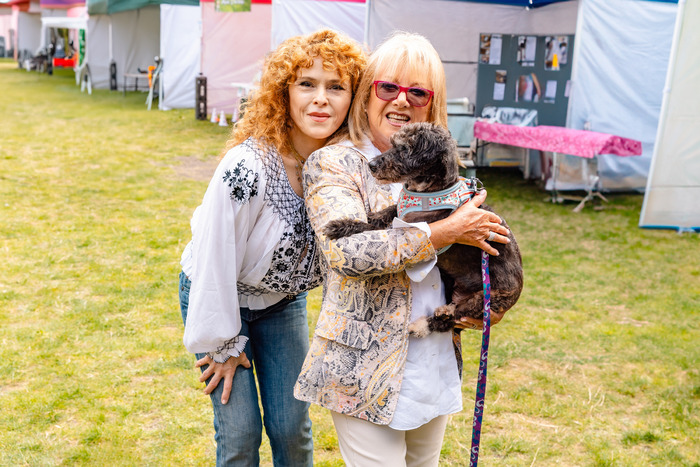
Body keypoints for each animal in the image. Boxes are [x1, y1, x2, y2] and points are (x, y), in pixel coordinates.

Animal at [322, 122, 520, 338]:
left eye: (403, 149)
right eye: (392, 144)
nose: (371, 165)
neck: (427, 192)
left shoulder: (410, 224)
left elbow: (373, 226)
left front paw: (341, 227)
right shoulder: (398, 211)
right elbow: (378, 215)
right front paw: (349, 220)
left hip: (489, 299)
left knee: (454, 316)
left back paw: (429, 321)